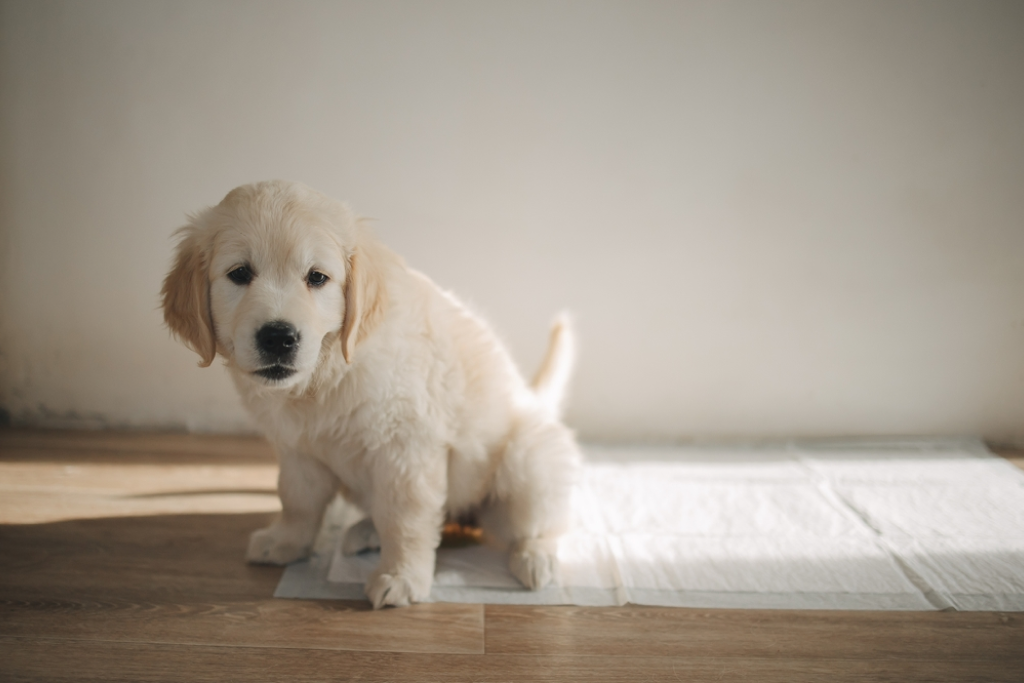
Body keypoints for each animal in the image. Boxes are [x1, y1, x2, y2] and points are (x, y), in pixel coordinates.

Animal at [156, 180, 581, 610]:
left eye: (317, 277)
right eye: (240, 273)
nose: (278, 337)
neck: (326, 376)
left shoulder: (406, 449)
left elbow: (405, 517)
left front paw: (401, 576)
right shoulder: (297, 450)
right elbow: (297, 500)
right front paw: (287, 542)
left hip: (526, 461)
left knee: (542, 521)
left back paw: (536, 557)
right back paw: (366, 532)